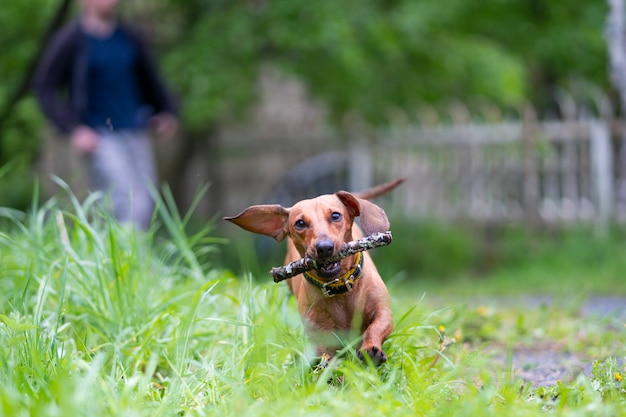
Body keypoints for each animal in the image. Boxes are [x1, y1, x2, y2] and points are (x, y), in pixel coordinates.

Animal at [222, 179, 402, 364]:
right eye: (300, 223)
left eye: (335, 215)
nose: (324, 248)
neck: (338, 287)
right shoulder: (320, 335)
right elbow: (325, 357)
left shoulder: (383, 312)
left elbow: (376, 327)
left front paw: (370, 349)